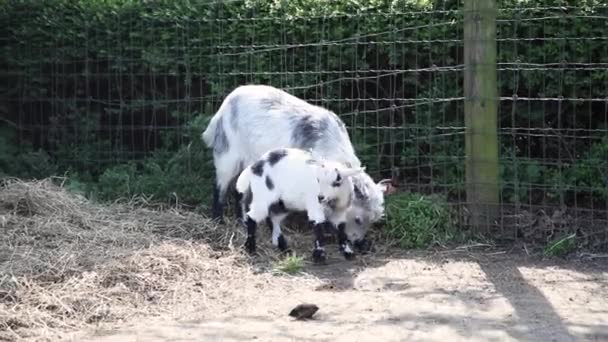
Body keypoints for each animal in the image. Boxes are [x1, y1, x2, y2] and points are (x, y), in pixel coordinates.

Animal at [235, 146, 364, 262]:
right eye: (318, 180)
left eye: (337, 182)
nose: (320, 197)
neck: (333, 201)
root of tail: (255, 165)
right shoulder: (315, 206)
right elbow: (318, 227)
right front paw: (319, 256)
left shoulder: (340, 211)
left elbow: (341, 229)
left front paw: (348, 252)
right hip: (262, 195)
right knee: (252, 217)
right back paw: (251, 248)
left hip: (282, 203)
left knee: (273, 219)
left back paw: (284, 248)